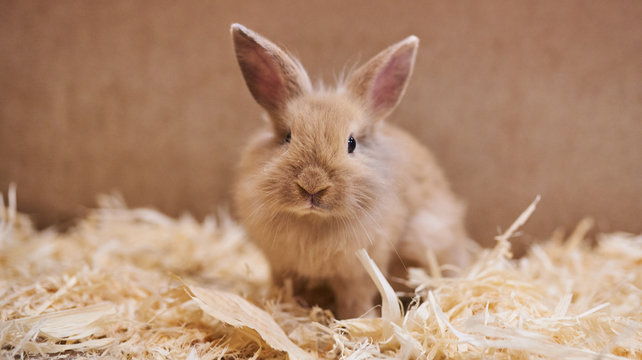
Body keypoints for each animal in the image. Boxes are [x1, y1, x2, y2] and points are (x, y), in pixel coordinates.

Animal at [229, 23, 470, 320]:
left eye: (351, 143)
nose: (312, 185)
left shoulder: (357, 273)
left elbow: (355, 300)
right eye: (287, 137)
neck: (314, 221)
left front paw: (357, 321)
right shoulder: (283, 267)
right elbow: (286, 289)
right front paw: (283, 309)